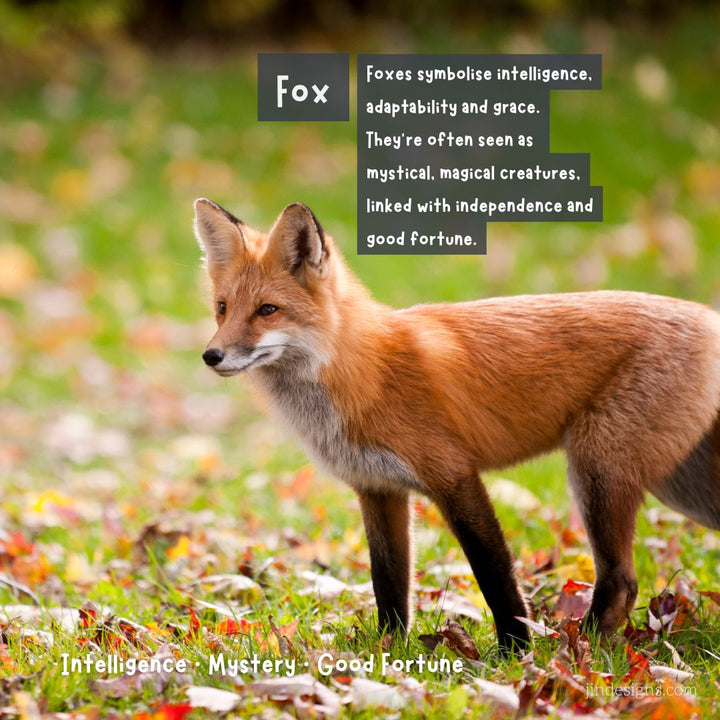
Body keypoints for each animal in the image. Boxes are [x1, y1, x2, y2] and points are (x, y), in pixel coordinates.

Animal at [193, 197, 720, 653]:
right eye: (222, 308)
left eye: (267, 310)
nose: (211, 355)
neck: (363, 372)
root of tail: (707, 315)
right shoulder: (377, 489)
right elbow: (389, 583)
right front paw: (389, 650)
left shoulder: (455, 475)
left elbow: (494, 574)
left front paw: (515, 652)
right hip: (680, 487)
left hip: (599, 472)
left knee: (620, 582)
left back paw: (575, 652)